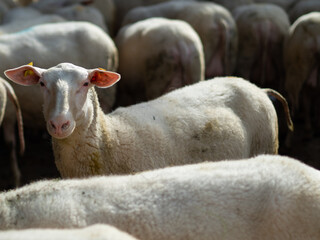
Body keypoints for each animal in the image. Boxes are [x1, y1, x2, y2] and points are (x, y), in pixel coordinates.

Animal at [5, 62, 294, 177]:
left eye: (86, 83)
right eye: (42, 83)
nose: (59, 124)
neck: (111, 139)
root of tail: (258, 88)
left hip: (266, 144)